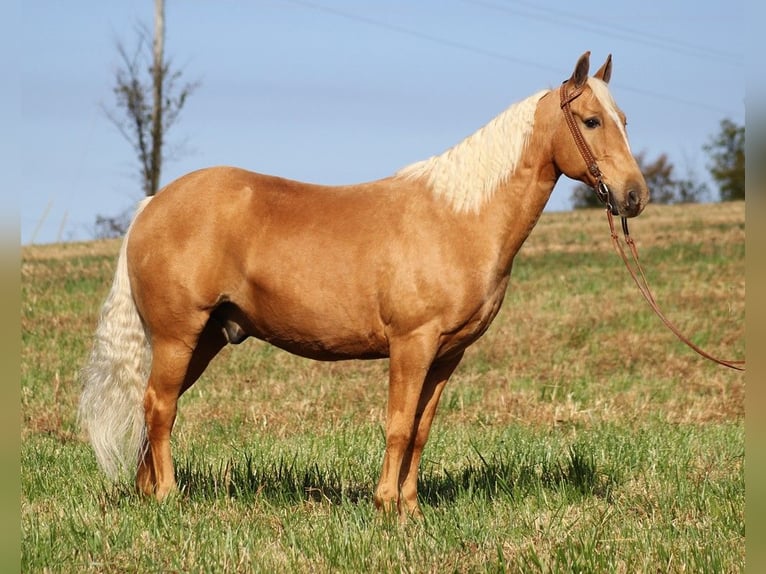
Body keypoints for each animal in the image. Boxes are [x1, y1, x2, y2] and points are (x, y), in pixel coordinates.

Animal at [81, 51, 652, 520]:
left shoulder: (447, 355)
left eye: (626, 121)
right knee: (160, 406)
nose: (634, 196)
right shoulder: (411, 344)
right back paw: (168, 497)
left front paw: (412, 510)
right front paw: (385, 508)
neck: (457, 218)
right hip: (178, 335)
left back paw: (146, 493)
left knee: (154, 406)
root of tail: (152, 205)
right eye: (592, 120)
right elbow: (398, 425)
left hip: (204, 340)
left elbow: (420, 430)